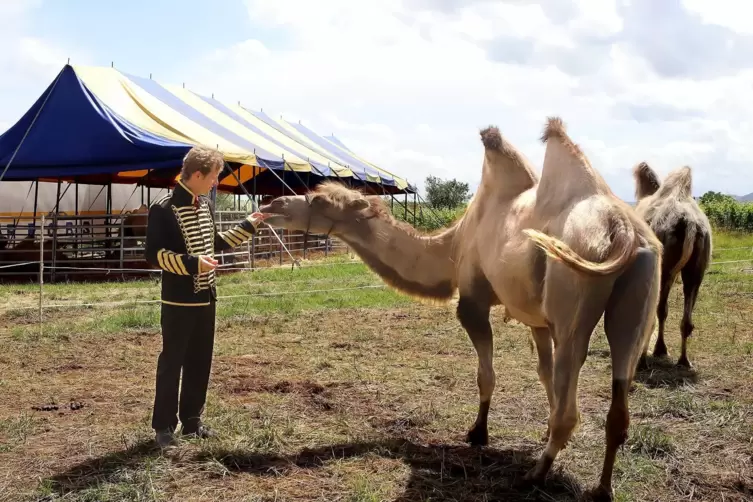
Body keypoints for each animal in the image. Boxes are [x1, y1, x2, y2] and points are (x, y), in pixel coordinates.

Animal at [258, 117, 656, 498]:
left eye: (320, 200)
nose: (270, 206)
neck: (452, 246)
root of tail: (622, 229)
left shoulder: (473, 301)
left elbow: (486, 375)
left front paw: (478, 434)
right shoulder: (537, 319)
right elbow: (544, 375)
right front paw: (537, 432)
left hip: (571, 293)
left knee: (571, 399)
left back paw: (534, 475)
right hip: (637, 290)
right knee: (618, 391)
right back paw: (602, 488)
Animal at [632, 163, 708, 366]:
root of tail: (691, 224)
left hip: (664, 267)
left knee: (655, 311)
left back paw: (644, 360)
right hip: (696, 270)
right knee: (684, 318)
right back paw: (683, 360)